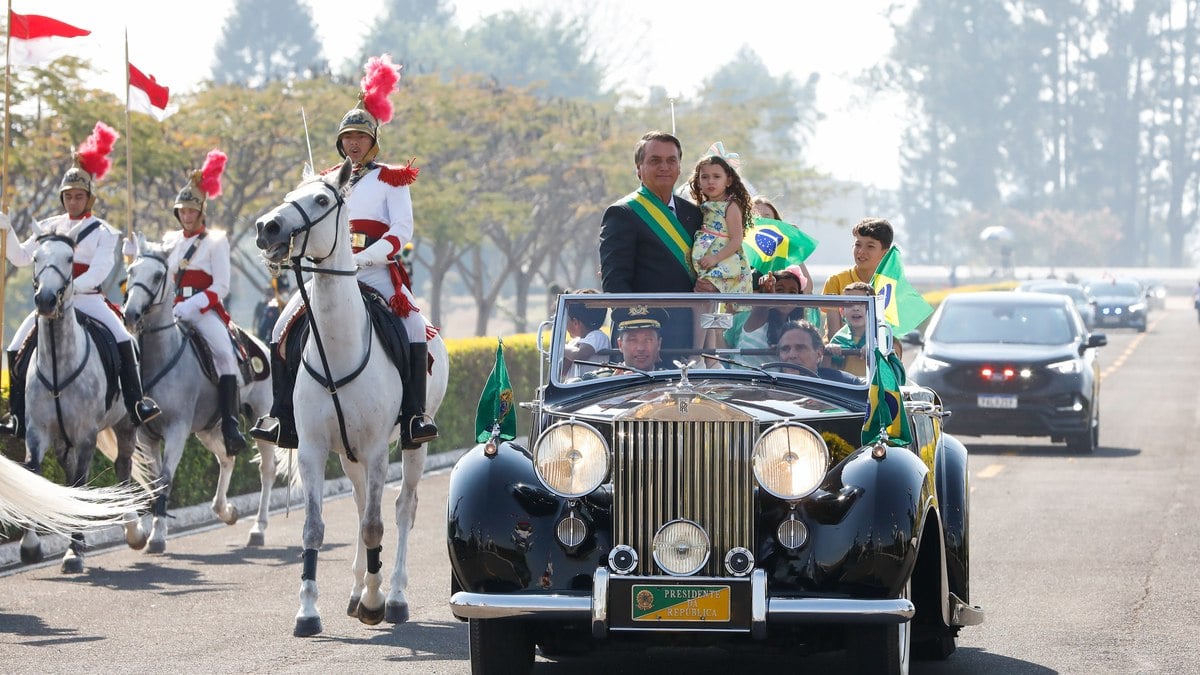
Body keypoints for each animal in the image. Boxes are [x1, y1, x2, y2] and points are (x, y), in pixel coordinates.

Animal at [20, 234, 152, 569]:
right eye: (36, 257)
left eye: (69, 259)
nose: (46, 300)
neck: (58, 364)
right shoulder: (37, 432)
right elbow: (34, 473)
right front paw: (30, 546)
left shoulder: (85, 435)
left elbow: (81, 483)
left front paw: (73, 551)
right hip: (63, 441)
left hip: (126, 425)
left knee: (122, 467)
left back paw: (133, 530)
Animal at [121, 241, 285, 552]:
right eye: (131, 271)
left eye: (158, 276)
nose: (130, 314)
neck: (159, 359)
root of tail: (261, 345)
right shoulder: (148, 436)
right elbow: (157, 482)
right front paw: (154, 530)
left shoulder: (176, 429)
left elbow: (166, 479)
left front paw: (158, 535)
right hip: (208, 429)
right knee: (227, 459)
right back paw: (225, 510)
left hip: (262, 419)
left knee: (267, 470)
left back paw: (258, 528)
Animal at [258, 158, 451, 634]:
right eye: (289, 194)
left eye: (321, 199)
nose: (267, 228)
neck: (338, 350)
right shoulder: (313, 447)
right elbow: (314, 527)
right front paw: (308, 610)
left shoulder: (379, 448)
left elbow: (375, 526)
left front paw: (376, 602)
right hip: (347, 453)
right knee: (364, 501)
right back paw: (356, 588)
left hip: (414, 443)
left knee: (402, 508)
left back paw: (393, 595)